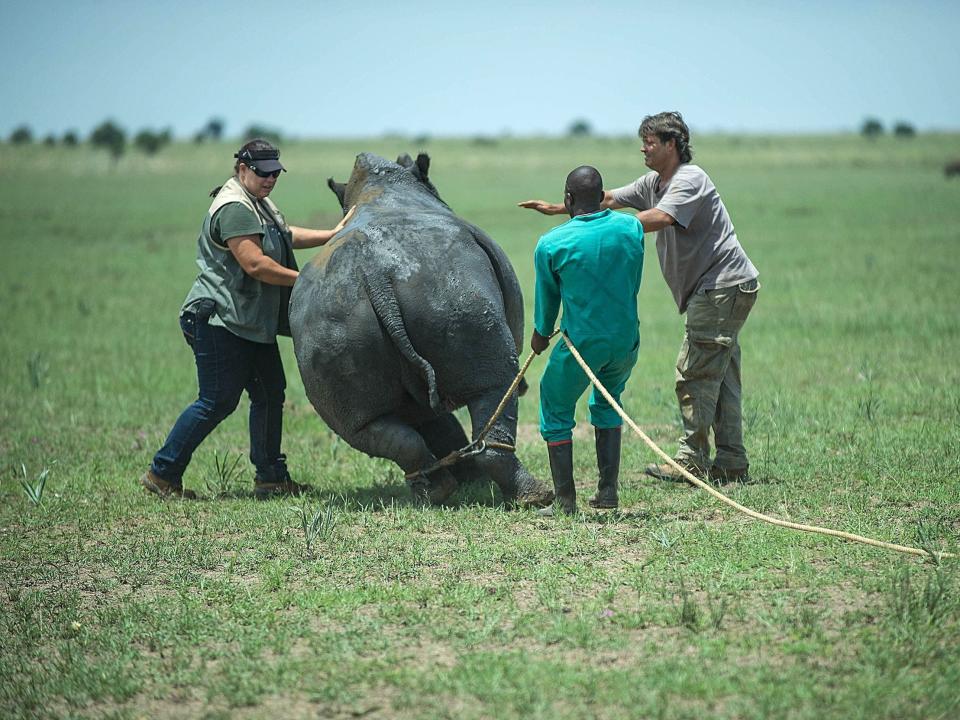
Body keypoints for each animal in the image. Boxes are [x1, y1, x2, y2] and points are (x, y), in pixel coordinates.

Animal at [288, 150, 552, 506]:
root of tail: (376, 274)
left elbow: (434, 423)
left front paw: (467, 481)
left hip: (329, 320)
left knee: (368, 426)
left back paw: (433, 491)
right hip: (450, 287)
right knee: (496, 385)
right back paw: (535, 496)